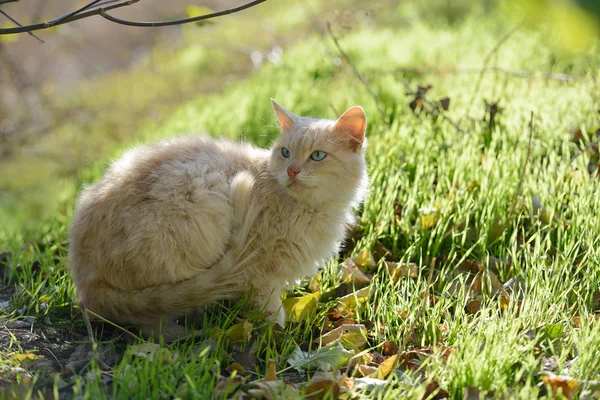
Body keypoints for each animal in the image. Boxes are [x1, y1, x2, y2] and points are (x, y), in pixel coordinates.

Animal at [70, 100, 370, 340]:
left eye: (317, 156)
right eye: (286, 152)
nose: (292, 171)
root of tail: (86, 285)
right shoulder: (259, 274)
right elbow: (269, 312)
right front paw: (278, 334)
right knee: (149, 320)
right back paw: (183, 336)